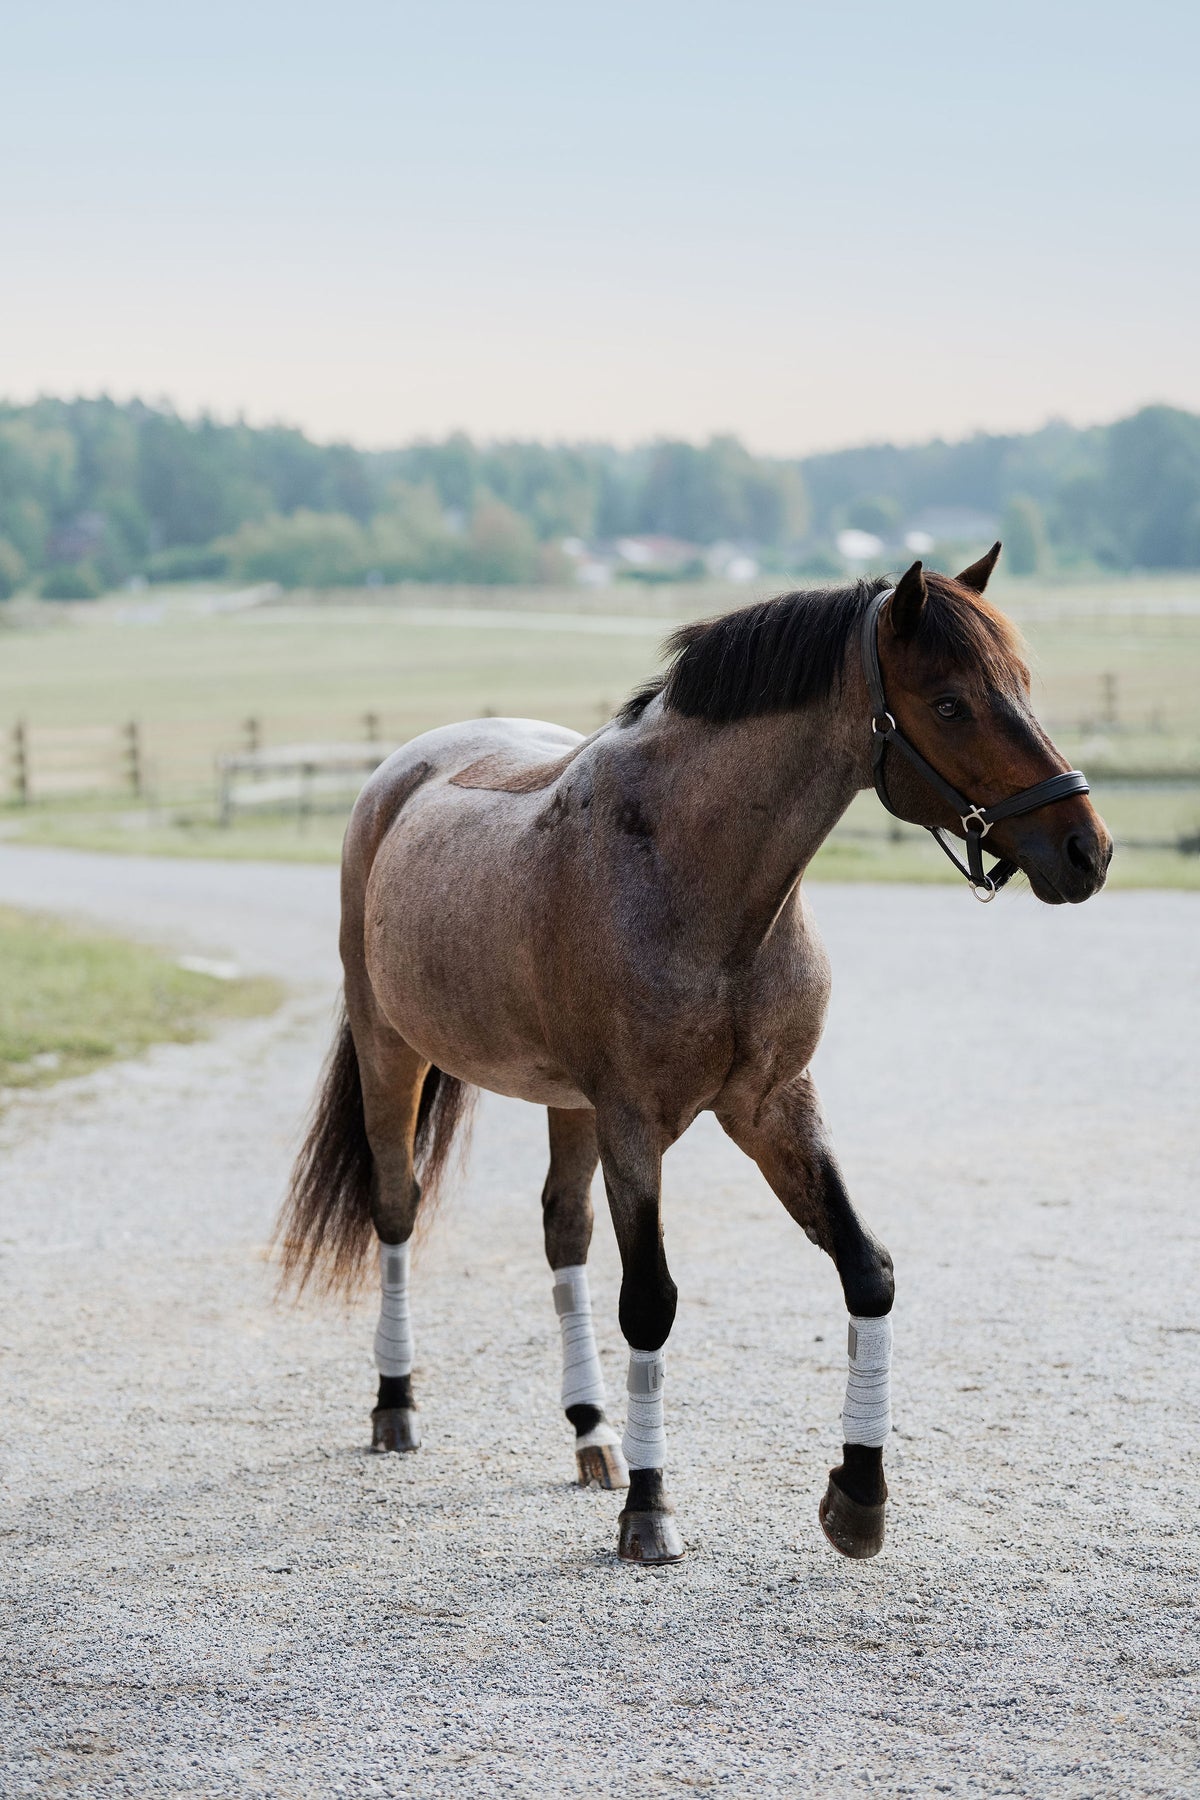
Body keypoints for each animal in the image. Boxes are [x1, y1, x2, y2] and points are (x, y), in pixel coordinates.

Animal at [277, 549, 1111, 1565]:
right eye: (950, 704)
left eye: (1021, 685)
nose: (1085, 850)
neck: (692, 871)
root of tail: (398, 777)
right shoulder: (636, 1123)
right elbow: (651, 1301)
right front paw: (649, 1510)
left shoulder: (772, 1105)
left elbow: (865, 1269)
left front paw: (858, 1494)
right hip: (392, 1051)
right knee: (397, 1208)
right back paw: (397, 1405)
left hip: (568, 1105)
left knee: (562, 1230)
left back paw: (590, 1429)